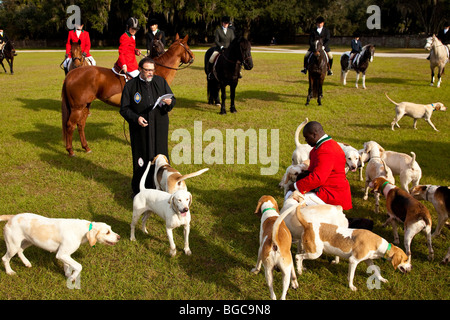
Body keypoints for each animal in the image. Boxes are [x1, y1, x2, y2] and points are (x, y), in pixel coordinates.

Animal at [61, 34, 193, 157]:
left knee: (80, 124)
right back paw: (70, 150)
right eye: (187, 47)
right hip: (77, 107)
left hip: (86, 105)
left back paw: (86, 147)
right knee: (70, 125)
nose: (192, 58)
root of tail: (72, 73)